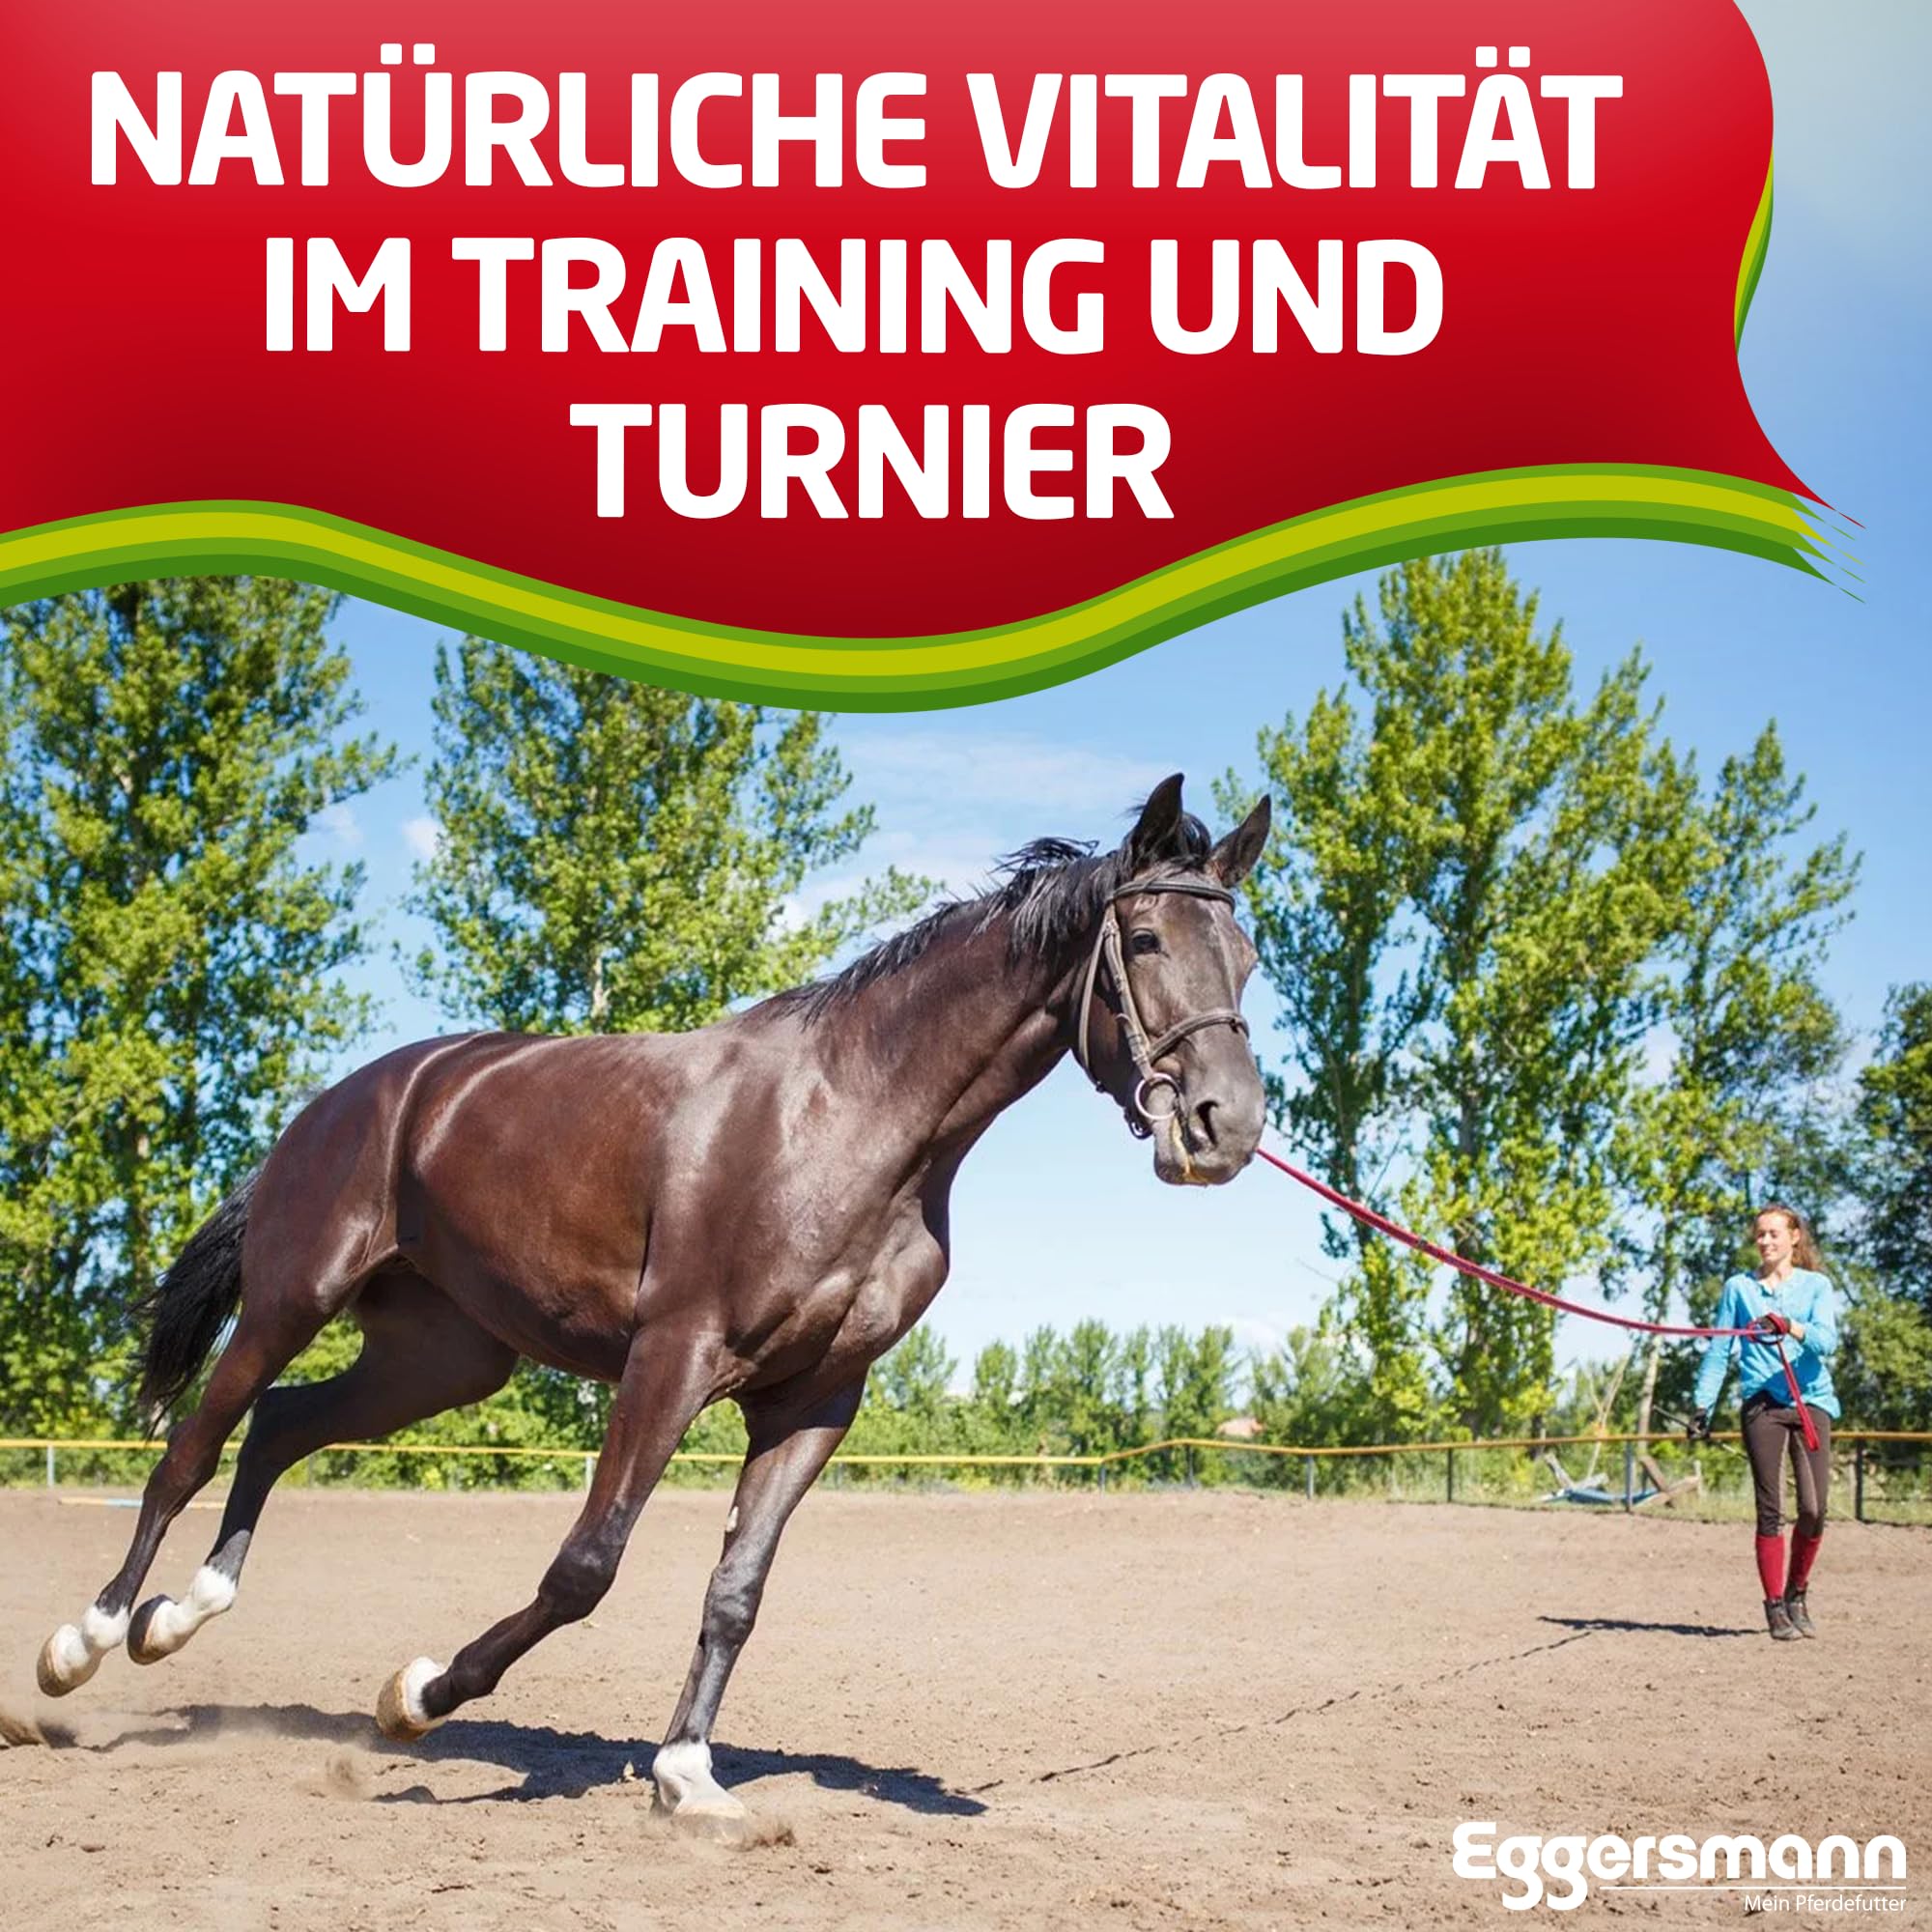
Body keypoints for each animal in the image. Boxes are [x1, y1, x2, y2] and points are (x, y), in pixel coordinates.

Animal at [35, 773, 1271, 1823]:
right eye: (1146, 939)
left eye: (1248, 956)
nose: (1225, 1125)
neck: (850, 1117)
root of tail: (347, 1098)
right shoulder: (672, 1356)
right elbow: (585, 1566)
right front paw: (418, 1693)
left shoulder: (815, 1399)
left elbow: (737, 1588)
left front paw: (686, 1774)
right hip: (293, 1297)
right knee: (191, 1447)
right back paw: (87, 1641)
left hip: (441, 1358)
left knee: (281, 1425)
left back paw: (176, 1619)